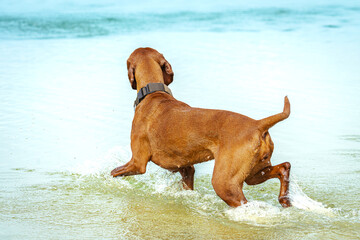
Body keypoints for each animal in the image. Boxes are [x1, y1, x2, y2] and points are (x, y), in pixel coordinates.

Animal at [111, 47, 292, 207]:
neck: (153, 93)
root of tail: (257, 124)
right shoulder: (186, 168)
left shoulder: (137, 163)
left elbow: (113, 172)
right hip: (254, 173)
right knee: (284, 167)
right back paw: (285, 200)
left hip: (225, 183)